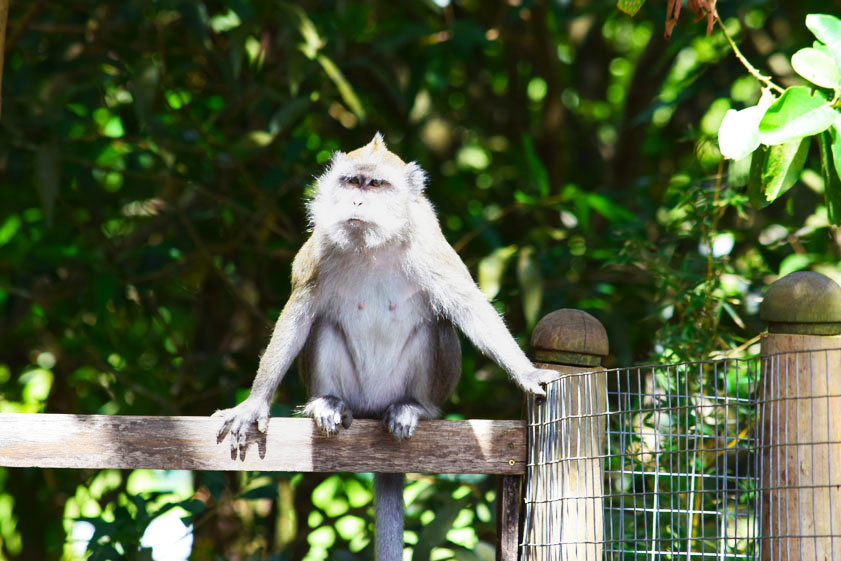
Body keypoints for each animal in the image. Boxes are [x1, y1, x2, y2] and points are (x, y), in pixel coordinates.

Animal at [215, 133, 556, 556]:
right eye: (351, 182)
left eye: (375, 185)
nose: (357, 202)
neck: (372, 244)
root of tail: (373, 408)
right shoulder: (320, 249)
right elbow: (299, 313)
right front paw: (253, 404)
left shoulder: (428, 243)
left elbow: (468, 305)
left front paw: (527, 373)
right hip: (356, 394)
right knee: (324, 326)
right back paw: (328, 404)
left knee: (433, 327)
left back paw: (412, 408)